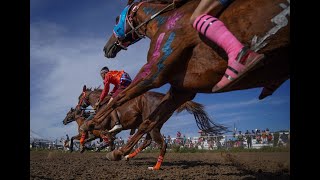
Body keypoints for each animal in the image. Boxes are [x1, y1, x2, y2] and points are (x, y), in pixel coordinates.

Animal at [96, 0, 288, 165]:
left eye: (116, 19)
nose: (106, 47)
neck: (163, 21)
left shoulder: (153, 72)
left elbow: (118, 99)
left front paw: (93, 122)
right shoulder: (181, 91)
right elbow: (147, 122)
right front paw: (118, 152)